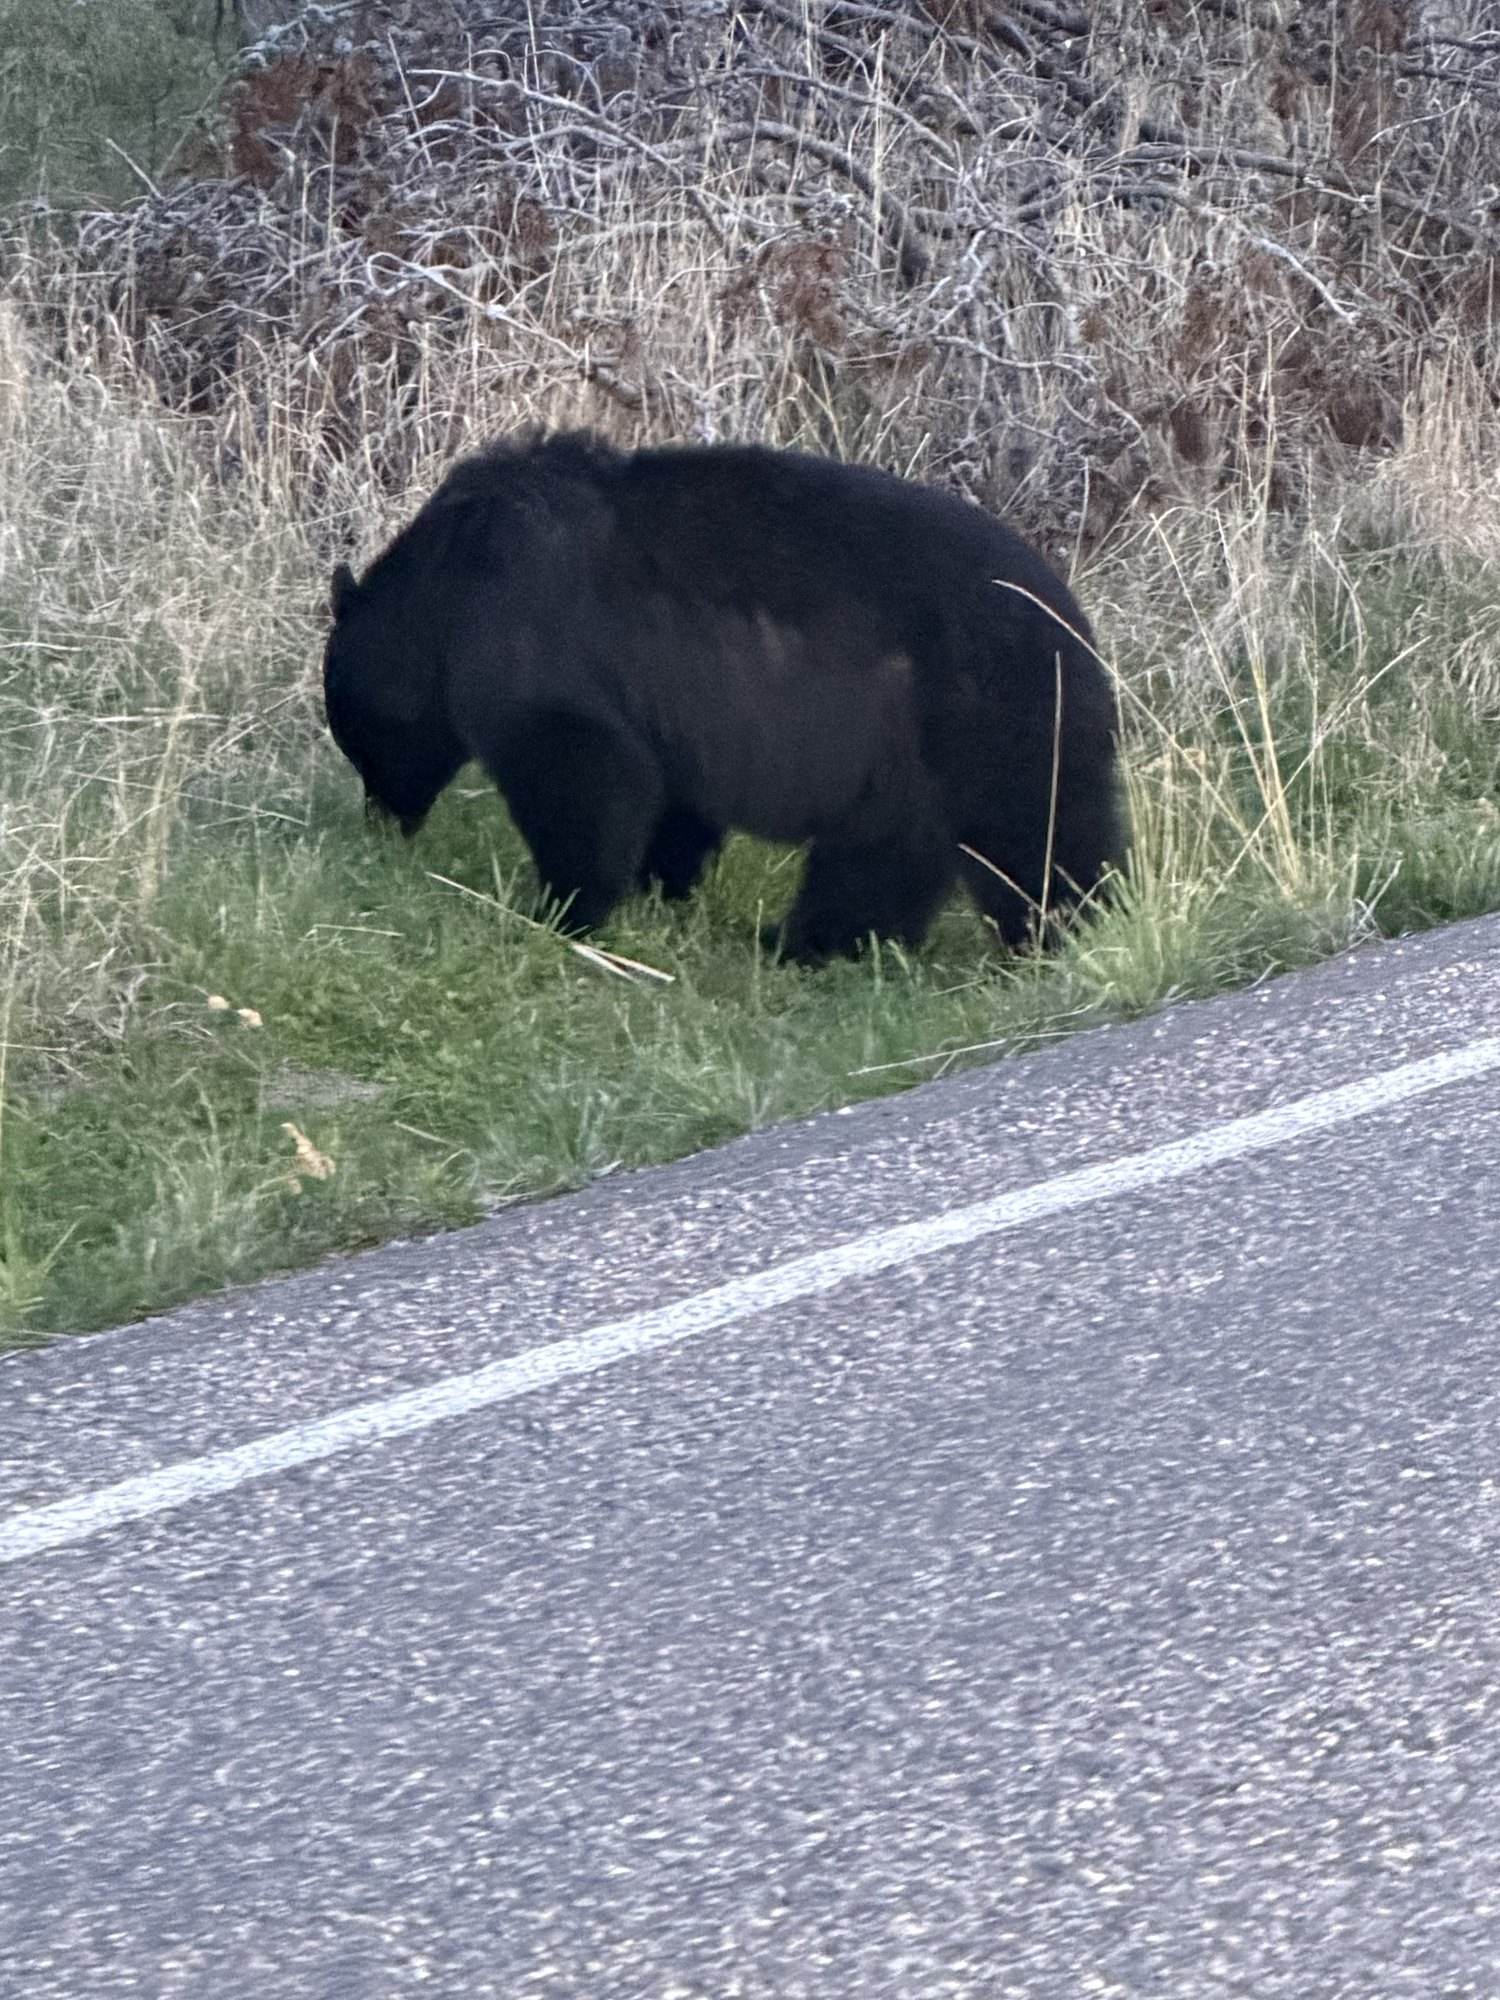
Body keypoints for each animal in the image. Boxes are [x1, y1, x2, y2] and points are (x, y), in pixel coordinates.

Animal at [322, 431, 1126, 965]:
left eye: (363, 744)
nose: (381, 820)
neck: (446, 590)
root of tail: (1078, 635)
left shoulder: (526, 633)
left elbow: (579, 763)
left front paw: (561, 907)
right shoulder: (667, 709)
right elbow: (669, 798)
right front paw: (657, 891)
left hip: (970, 720)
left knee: (1006, 840)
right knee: (911, 852)